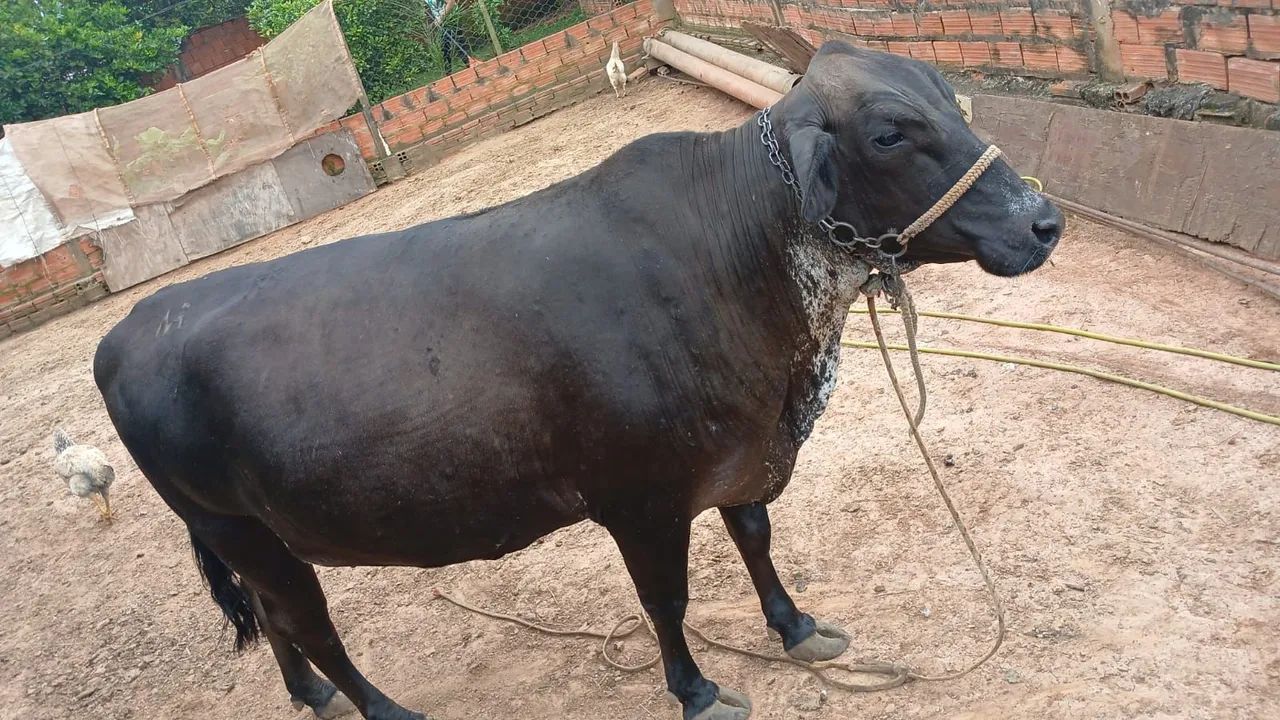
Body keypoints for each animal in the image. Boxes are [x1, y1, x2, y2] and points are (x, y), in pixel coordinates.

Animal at [94, 42, 1061, 720]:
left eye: (949, 97)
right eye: (891, 132)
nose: (1044, 221)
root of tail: (126, 329)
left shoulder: (743, 456)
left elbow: (755, 538)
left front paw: (795, 628)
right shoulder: (638, 498)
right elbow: (666, 598)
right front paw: (697, 691)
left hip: (247, 538)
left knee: (272, 621)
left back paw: (312, 696)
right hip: (243, 528)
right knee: (308, 622)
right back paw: (381, 706)